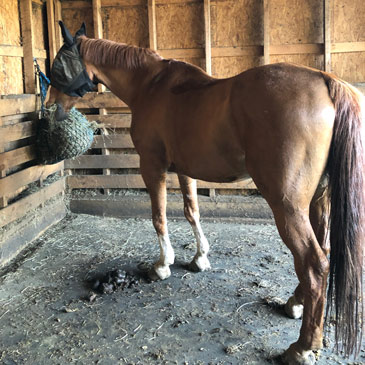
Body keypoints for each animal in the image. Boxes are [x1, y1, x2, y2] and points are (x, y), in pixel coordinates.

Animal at [48, 22, 364, 362]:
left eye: (58, 66)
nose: (52, 108)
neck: (150, 85)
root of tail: (327, 81)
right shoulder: (185, 170)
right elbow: (192, 212)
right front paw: (199, 258)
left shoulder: (152, 166)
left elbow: (159, 216)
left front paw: (163, 265)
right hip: (318, 199)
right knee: (323, 252)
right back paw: (295, 304)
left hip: (288, 206)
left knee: (314, 265)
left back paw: (302, 347)